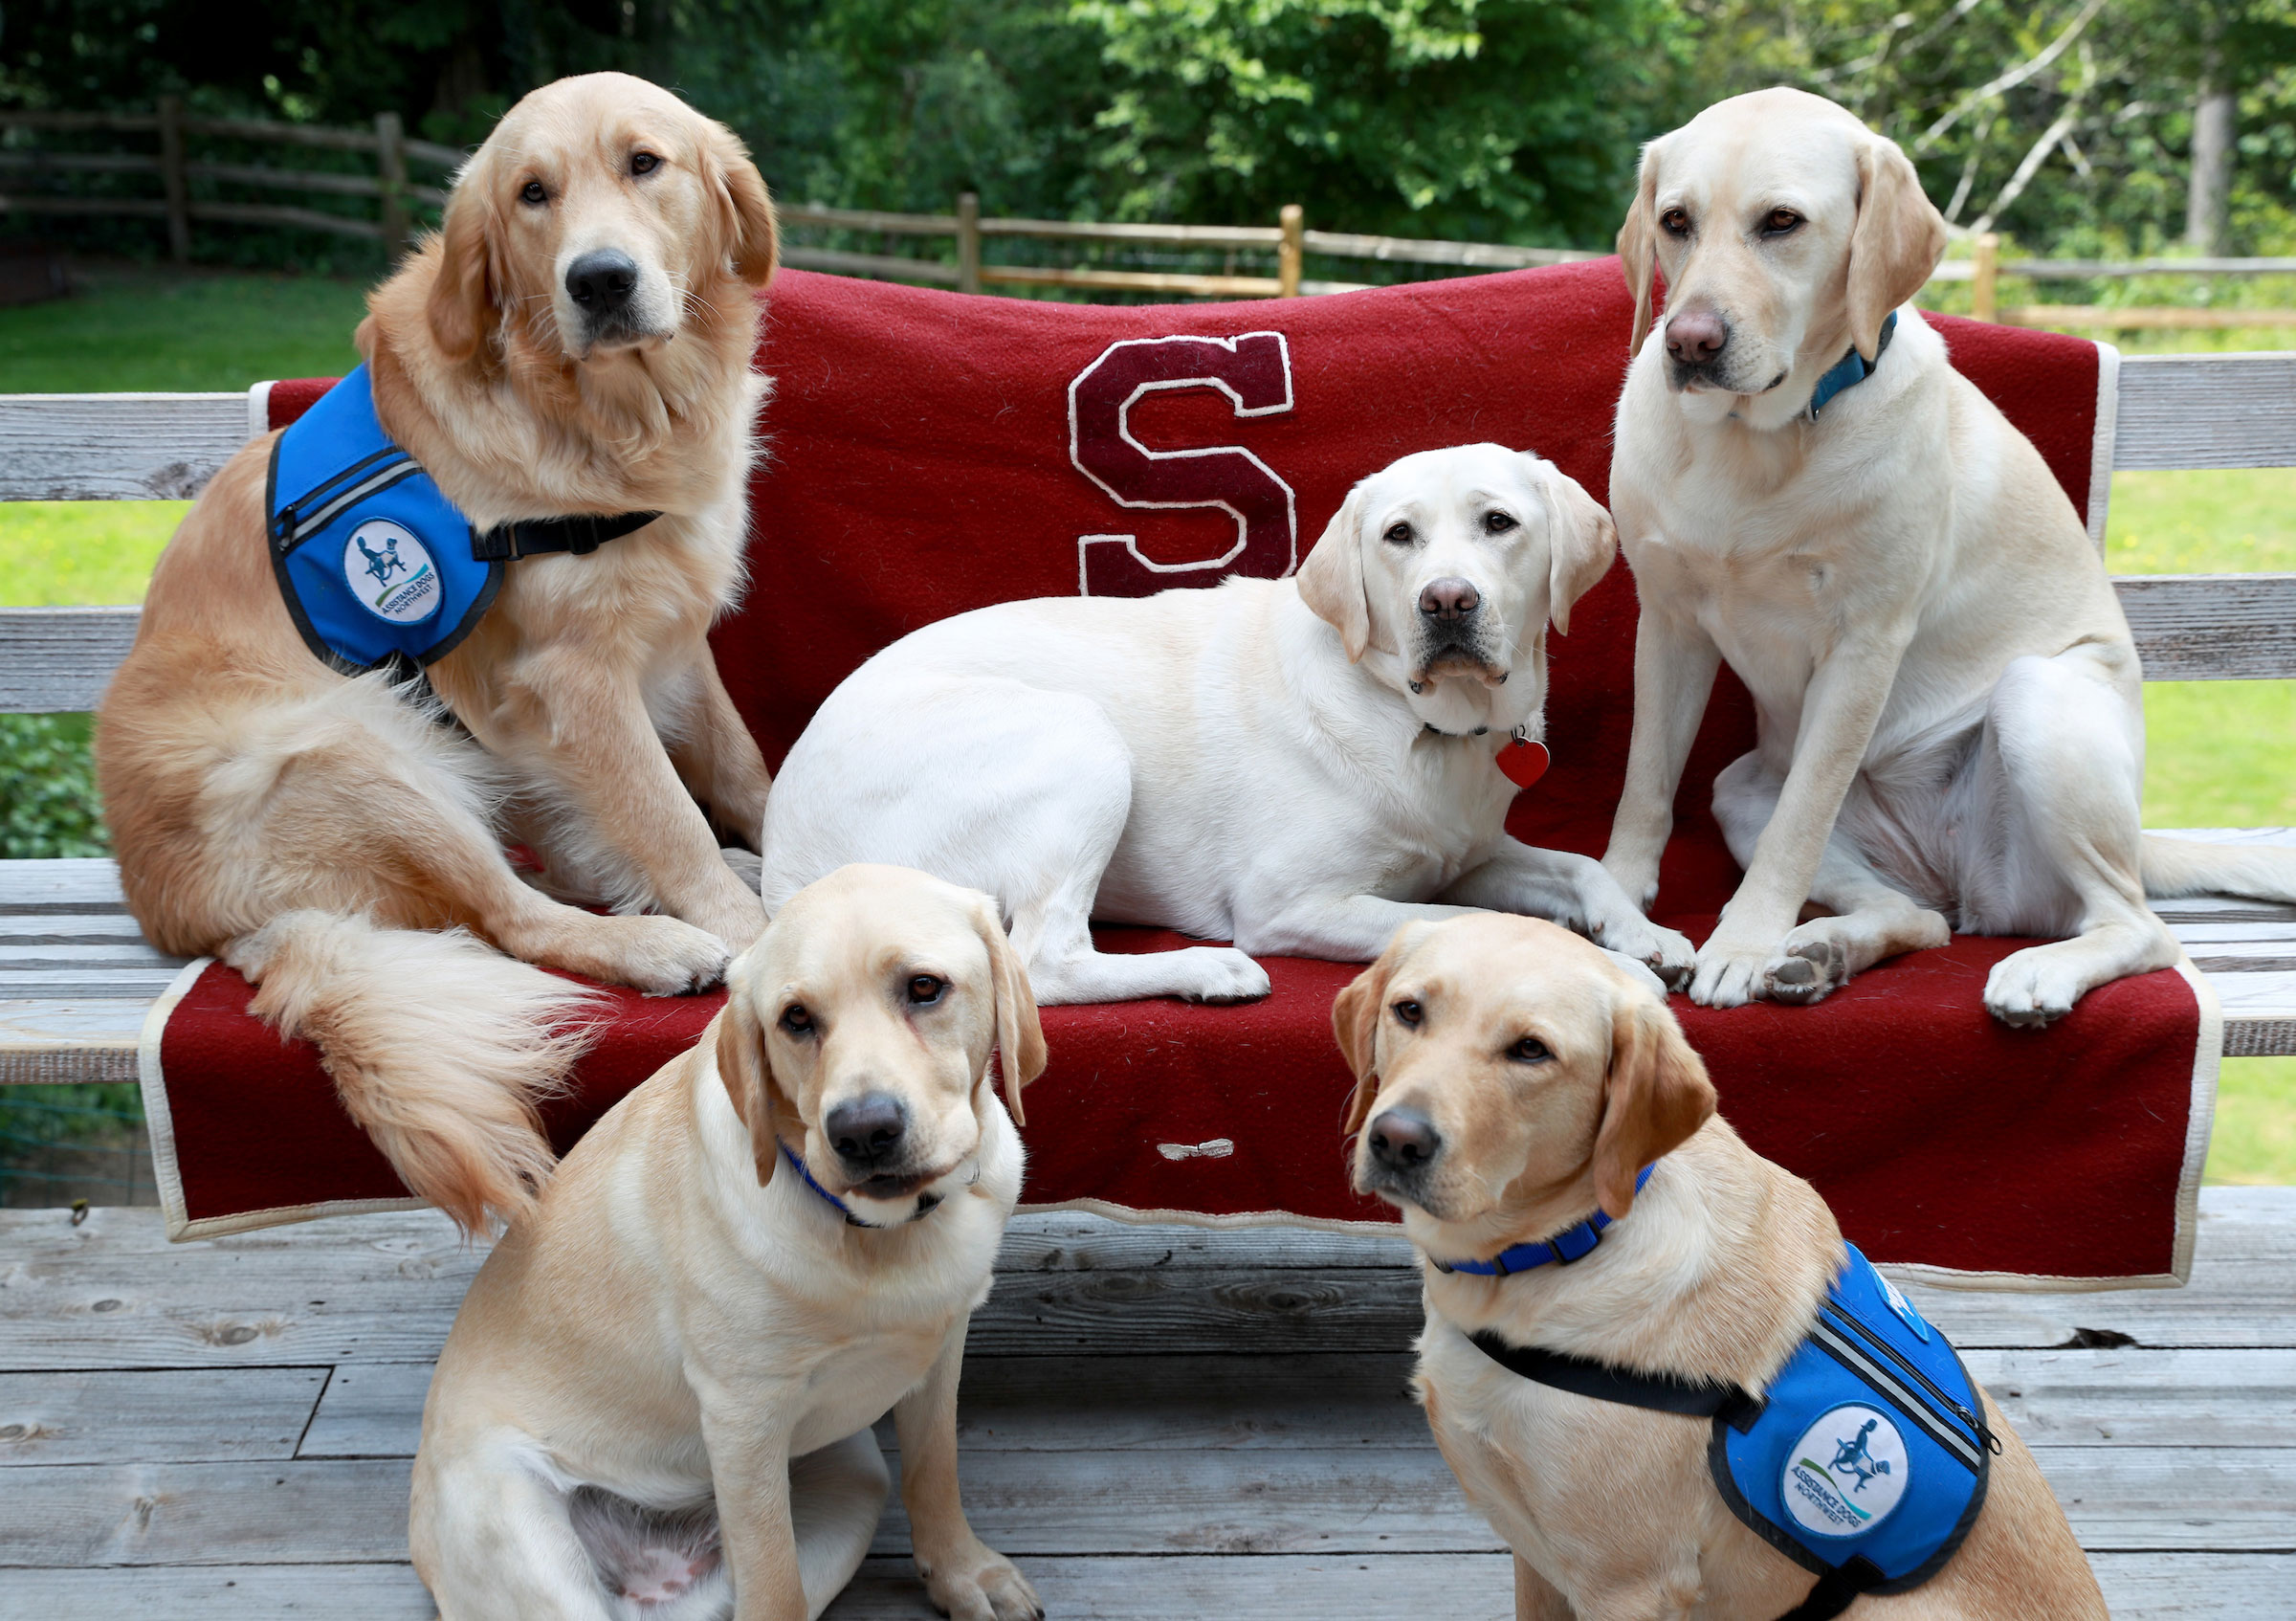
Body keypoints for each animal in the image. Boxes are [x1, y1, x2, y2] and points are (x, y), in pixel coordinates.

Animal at [413, 863, 1051, 1616]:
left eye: (924, 987)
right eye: (795, 1019)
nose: (863, 1132)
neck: (880, 1232)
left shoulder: (938, 1348)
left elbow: (935, 1471)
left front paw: (961, 1573)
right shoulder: (744, 1417)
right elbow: (773, 1583)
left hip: (852, 1478)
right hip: (527, 1540)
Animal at [762, 440, 1699, 996]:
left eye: (1498, 522)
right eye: (1398, 535)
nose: (1446, 601)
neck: (1415, 718)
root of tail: (783, 863)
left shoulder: (1468, 854)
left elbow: (1579, 865)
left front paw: (1643, 933)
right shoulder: (1290, 903)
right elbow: (1481, 925)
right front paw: (1612, 966)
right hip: (1081, 742)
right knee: (1045, 961)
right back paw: (1210, 967)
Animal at [1340, 913, 2103, 1607]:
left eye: (1531, 1051)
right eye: (1409, 1010)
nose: (1397, 1140)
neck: (1572, 1240)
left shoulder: (1625, 1585)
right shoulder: (1537, 1560)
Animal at [1598, 88, 2296, 1014]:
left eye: (1782, 222)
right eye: (1675, 221)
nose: (1689, 342)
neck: (1756, 445)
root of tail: (1958, 880)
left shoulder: (1864, 644)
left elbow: (1798, 824)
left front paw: (1741, 945)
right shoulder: (1670, 621)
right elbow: (1644, 781)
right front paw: (1615, 905)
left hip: (2041, 699)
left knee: (2138, 926)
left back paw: (2034, 969)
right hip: (1742, 790)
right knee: (1920, 920)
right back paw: (1822, 954)